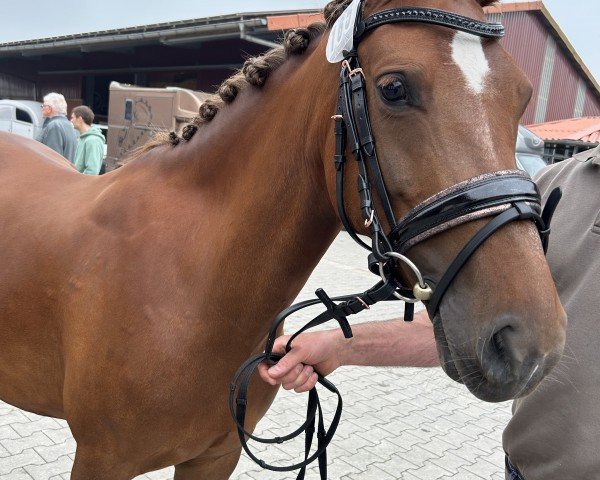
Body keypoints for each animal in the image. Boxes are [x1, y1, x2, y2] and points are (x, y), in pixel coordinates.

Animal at [0, 0, 564, 478]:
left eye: (521, 95)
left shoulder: (215, 456)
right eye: (393, 88)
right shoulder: (102, 460)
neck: (186, 286)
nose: (528, 341)